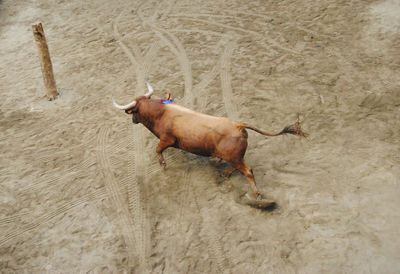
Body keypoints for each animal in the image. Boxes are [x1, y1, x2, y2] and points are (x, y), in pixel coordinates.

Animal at [114, 80, 308, 200]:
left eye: (134, 112)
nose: (132, 120)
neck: (161, 113)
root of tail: (238, 125)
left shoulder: (166, 139)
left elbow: (158, 150)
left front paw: (163, 164)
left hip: (235, 158)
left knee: (248, 171)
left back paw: (257, 195)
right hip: (235, 157)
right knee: (240, 167)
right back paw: (223, 170)